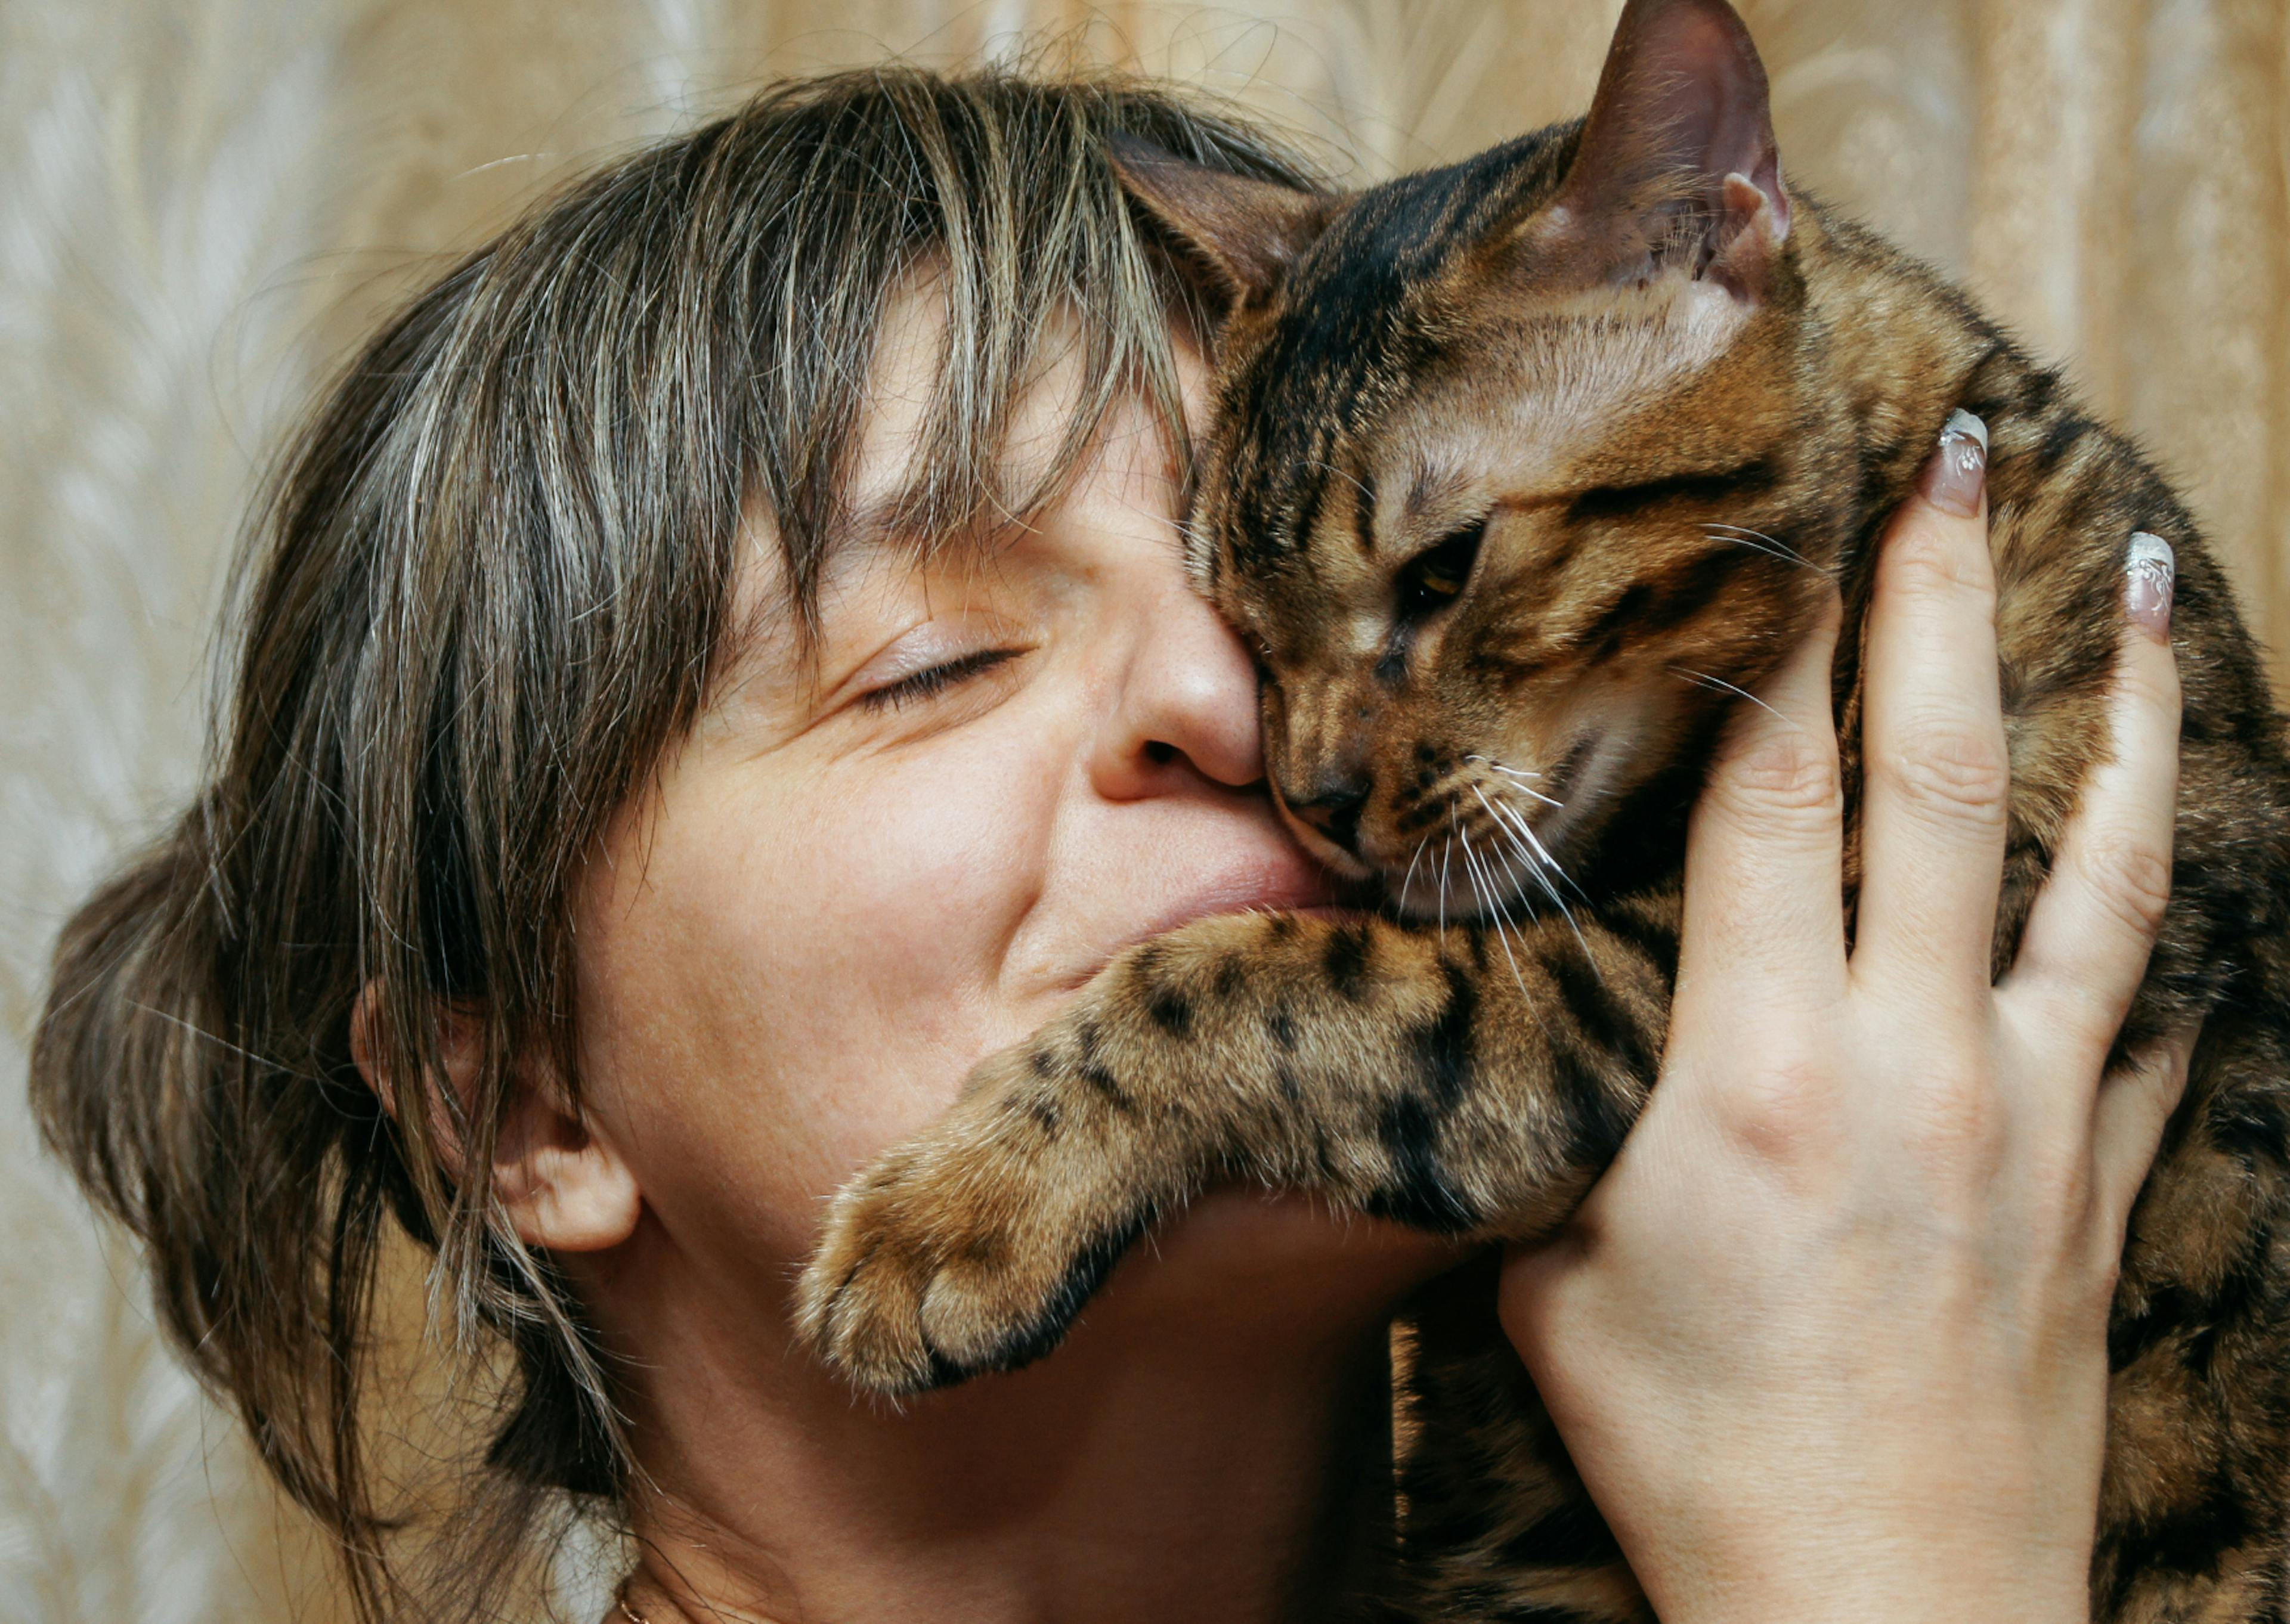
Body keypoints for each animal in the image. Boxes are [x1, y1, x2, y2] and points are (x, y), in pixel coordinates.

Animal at [792, 0, 2290, 1612]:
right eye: (1244, 626)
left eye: (1444, 572)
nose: (1311, 798)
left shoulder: (1631, 989)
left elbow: (1240, 979)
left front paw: (950, 1212)